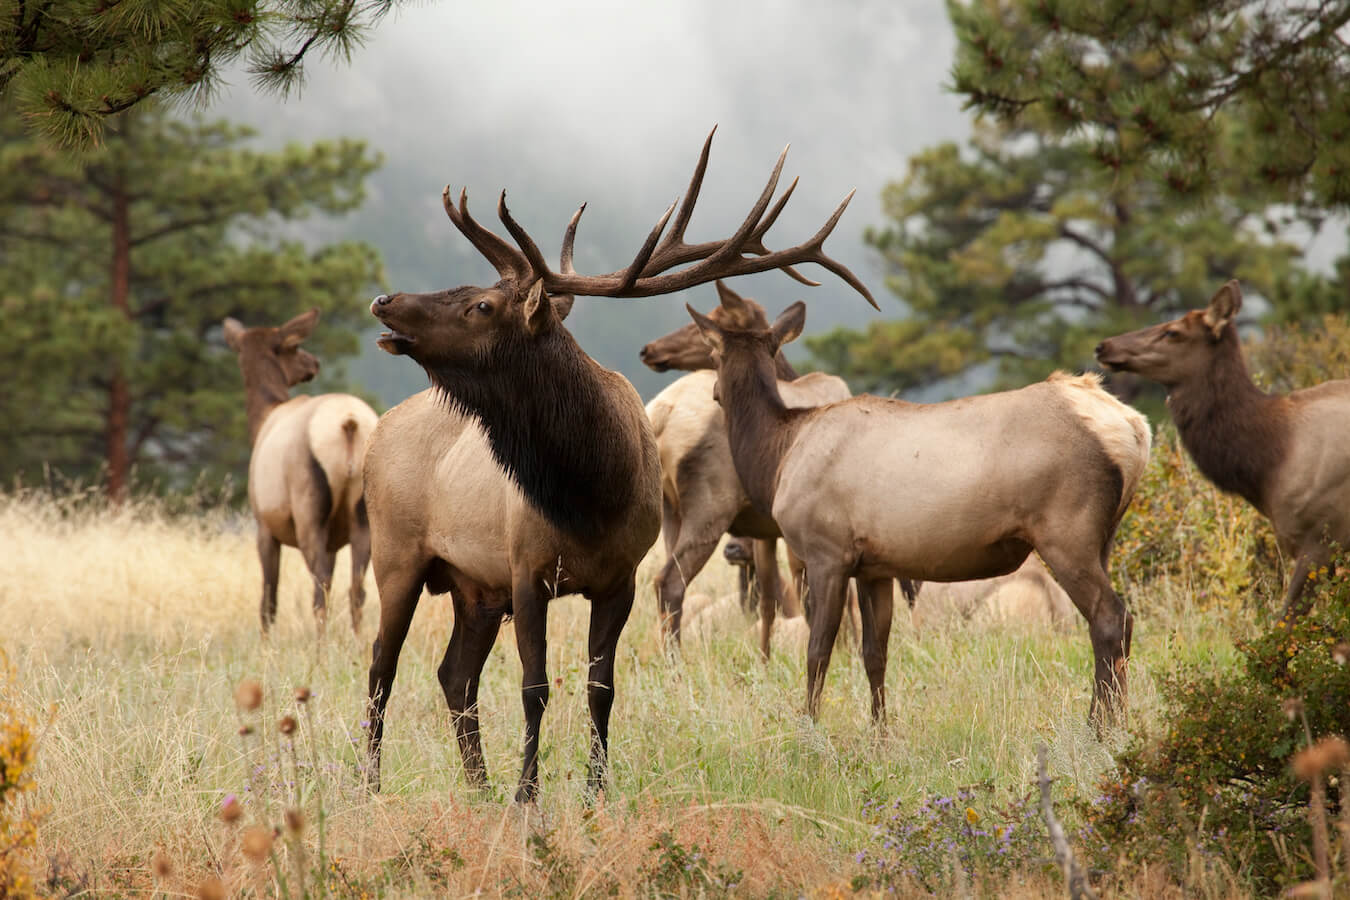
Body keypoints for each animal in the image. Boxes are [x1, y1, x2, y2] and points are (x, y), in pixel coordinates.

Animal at [222, 310, 380, 634]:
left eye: (292, 344)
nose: (314, 363)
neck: (262, 418)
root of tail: (350, 424)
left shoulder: (264, 525)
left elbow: (268, 601)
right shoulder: (334, 541)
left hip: (308, 508)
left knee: (320, 588)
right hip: (363, 516)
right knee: (356, 590)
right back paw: (359, 643)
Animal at [361, 124, 864, 804]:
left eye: (481, 305)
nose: (384, 300)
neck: (589, 494)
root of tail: (378, 431)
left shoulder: (618, 575)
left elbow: (601, 688)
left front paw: (593, 792)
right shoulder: (526, 569)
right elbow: (535, 688)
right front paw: (528, 795)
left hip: (473, 587)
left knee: (452, 676)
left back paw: (478, 788)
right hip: (397, 554)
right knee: (381, 668)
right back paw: (370, 787)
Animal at [685, 299, 1150, 728]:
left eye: (712, 355)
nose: (713, 392)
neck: (779, 458)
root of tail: (1134, 428)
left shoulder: (826, 552)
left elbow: (818, 652)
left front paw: (809, 731)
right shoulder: (875, 567)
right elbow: (875, 654)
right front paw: (880, 735)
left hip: (1066, 531)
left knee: (1110, 619)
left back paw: (1100, 729)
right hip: (1103, 536)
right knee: (1114, 624)